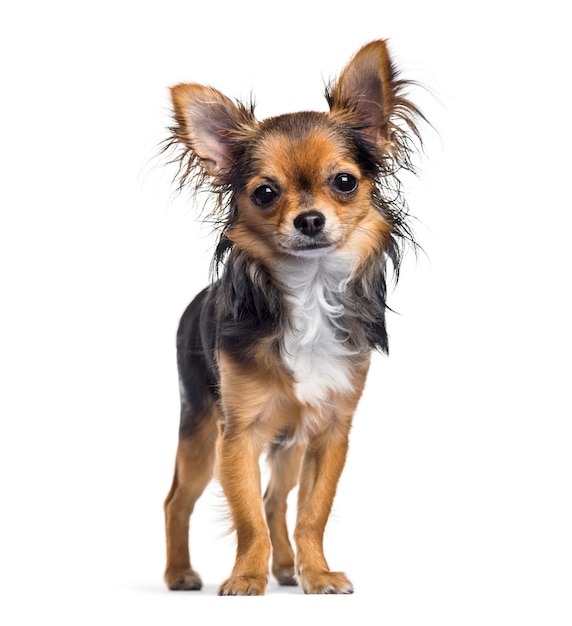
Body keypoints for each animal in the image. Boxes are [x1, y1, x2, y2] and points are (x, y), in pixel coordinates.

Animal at [163, 40, 422, 596]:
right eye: (265, 193)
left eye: (344, 182)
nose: (309, 220)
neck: (309, 292)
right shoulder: (237, 436)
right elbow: (247, 519)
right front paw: (245, 577)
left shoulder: (329, 434)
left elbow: (310, 513)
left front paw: (317, 573)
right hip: (199, 430)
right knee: (178, 501)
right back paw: (179, 573)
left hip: (288, 446)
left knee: (275, 499)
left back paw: (286, 567)